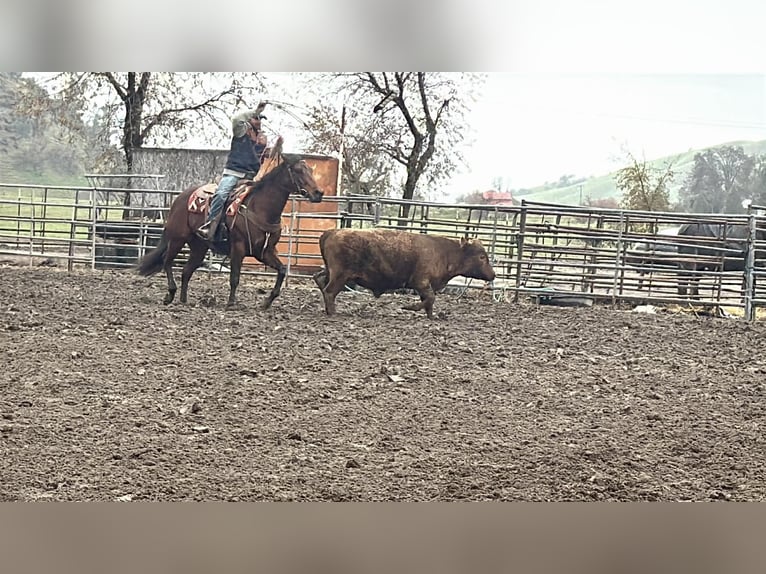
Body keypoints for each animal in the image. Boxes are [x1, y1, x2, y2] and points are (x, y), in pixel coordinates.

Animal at [136, 151, 323, 309]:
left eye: (310, 170)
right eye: (298, 171)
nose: (318, 193)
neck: (260, 208)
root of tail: (179, 198)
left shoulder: (264, 251)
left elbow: (282, 270)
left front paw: (267, 301)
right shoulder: (238, 247)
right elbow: (234, 277)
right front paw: (232, 303)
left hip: (199, 247)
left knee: (186, 271)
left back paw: (183, 300)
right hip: (177, 238)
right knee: (167, 262)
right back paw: (170, 294)